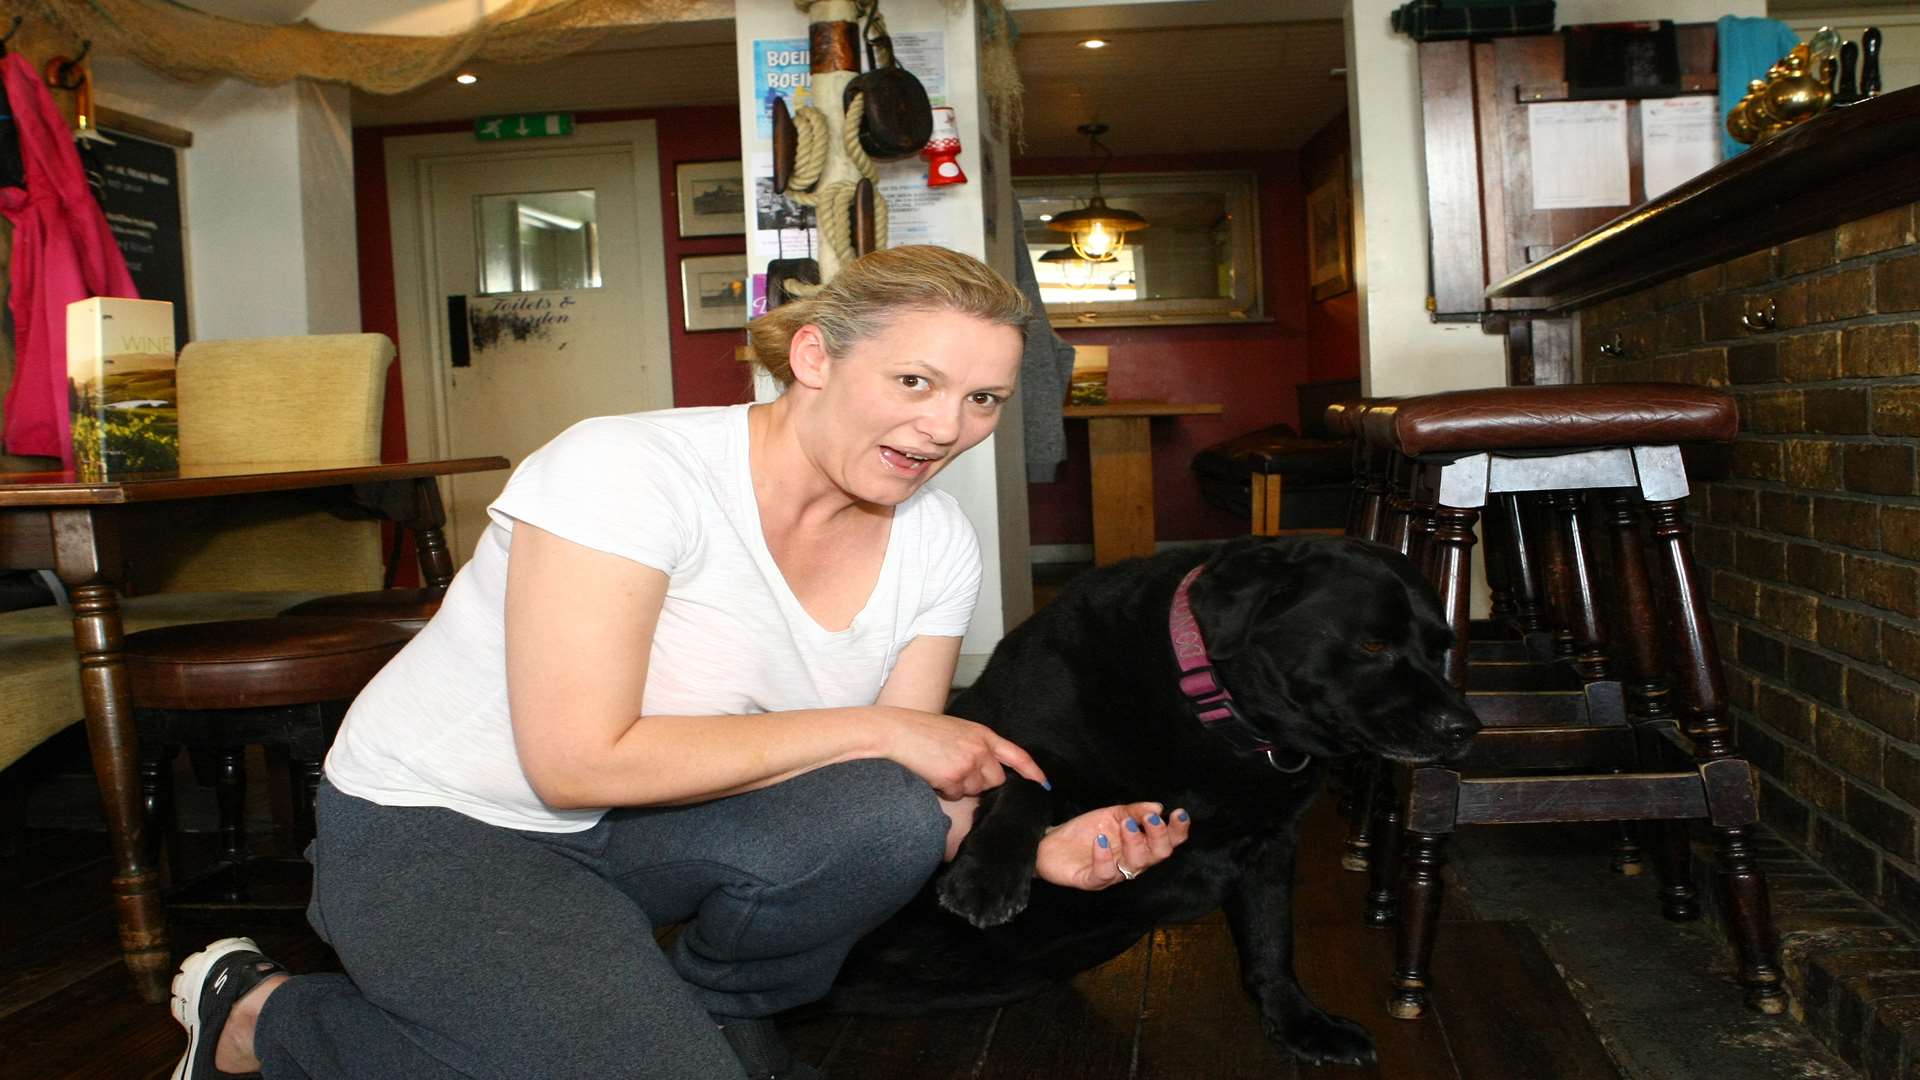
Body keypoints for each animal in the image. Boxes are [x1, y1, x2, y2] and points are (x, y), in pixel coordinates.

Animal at [829, 530, 1482, 1060]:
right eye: (1373, 645)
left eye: (1441, 646)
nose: (1465, 729)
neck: (1215, 711)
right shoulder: (997, 736)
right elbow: (1029, 781)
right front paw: (988, 877)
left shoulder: (1271, 848)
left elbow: (1271, 944)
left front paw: (1300, 1025)